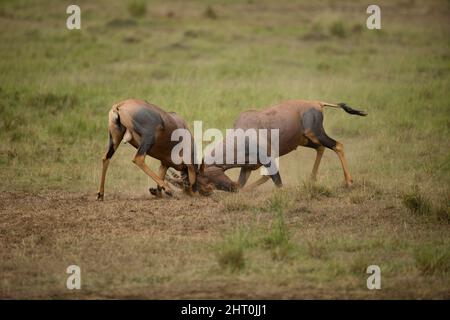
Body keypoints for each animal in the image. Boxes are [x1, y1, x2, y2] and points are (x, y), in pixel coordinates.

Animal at [169, 99, 366, 191]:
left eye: (200, 180)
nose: (229, 189)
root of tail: (317, 103)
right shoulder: (248, 167)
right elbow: (247, 183)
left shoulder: (269, 160)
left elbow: (277, 182)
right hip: (304, 140)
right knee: (321, 148)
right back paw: (312, 179)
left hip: (315, 133)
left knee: (337, 145)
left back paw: (349, 182)